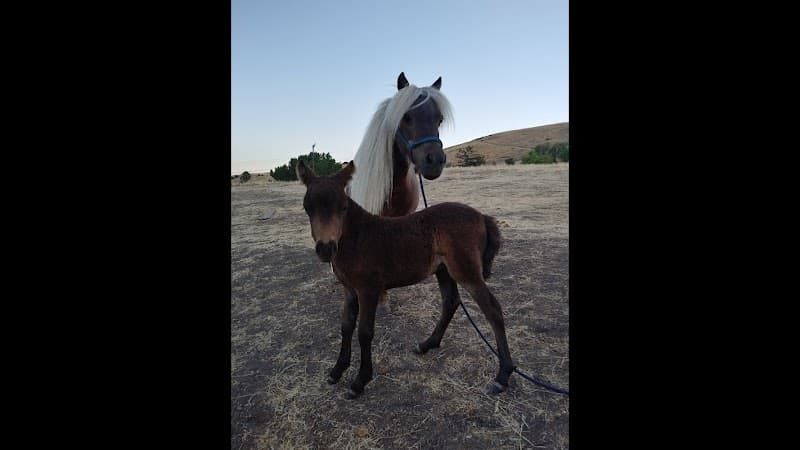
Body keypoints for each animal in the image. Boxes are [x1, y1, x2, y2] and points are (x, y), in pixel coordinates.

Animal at [297, 160, 515, 399]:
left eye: (343, 207)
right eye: (307, 207)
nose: (326, 249)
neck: (357, 237)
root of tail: (481, 217)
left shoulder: (368, 290)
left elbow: (364, 332)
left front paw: (360, 381)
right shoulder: (349, 290)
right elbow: (346, 326)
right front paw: (337, 371)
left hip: (466, 272)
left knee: (493, 310)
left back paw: (502, 376)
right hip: (443, 271)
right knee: (451, 302)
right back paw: (427, 344)